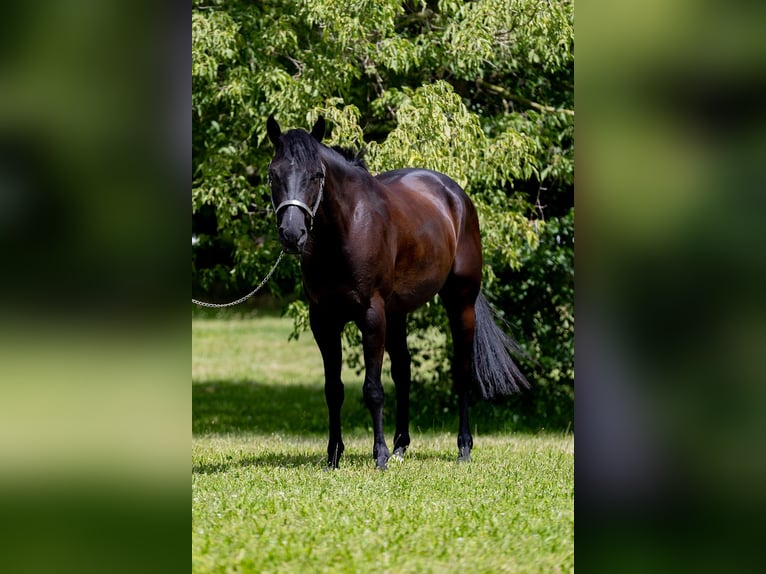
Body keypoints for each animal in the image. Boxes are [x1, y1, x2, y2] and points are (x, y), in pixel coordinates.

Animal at [266, 116, 528, 472]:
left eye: (316, 175)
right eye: (273, 174)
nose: (292, 234)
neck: (346, 228)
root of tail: (455, 195)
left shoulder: (371, 316)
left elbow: (373, 389)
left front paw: (379, 456)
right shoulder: (323, 321)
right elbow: (334, 389)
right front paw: (334, 455)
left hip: (460, 303)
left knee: (461, 372)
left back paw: (463, 447)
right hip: (398, 313)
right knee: (403, 372)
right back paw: (401, 445)